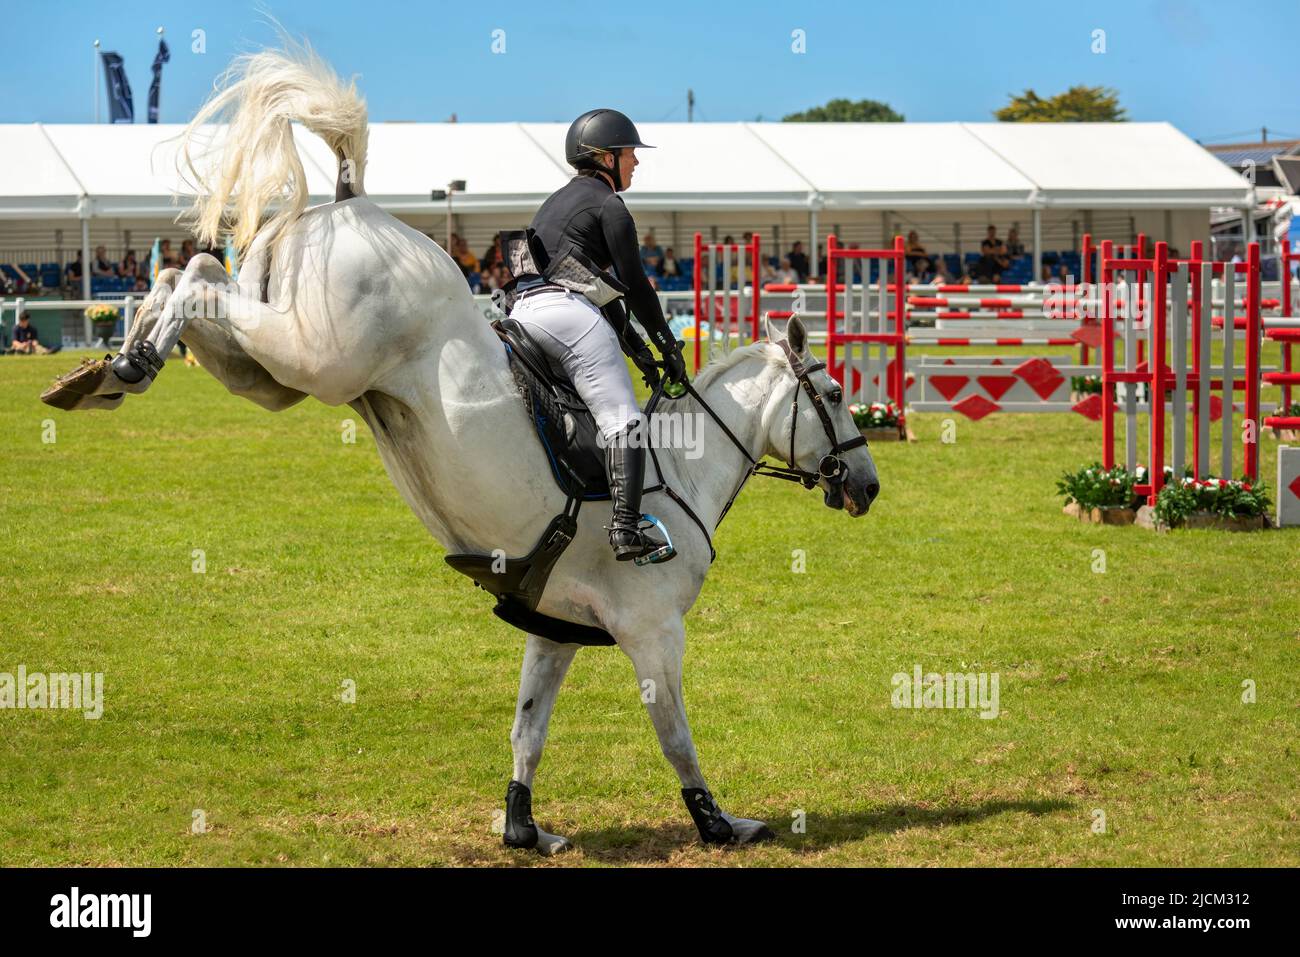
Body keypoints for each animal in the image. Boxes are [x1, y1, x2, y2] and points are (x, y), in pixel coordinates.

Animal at [50, 44, 883, 852]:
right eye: (837, 394)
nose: (868, 486)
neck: (683, 467)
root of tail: (350, 200)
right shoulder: (652, 630)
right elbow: (676, 736)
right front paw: (718, 822)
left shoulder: (556, 628)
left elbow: (528, 728)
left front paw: (522, 825)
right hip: (315, 355)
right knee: (191, 280)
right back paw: (125, 365)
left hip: (271, 368)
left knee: (188, 271)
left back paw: (105, 373)